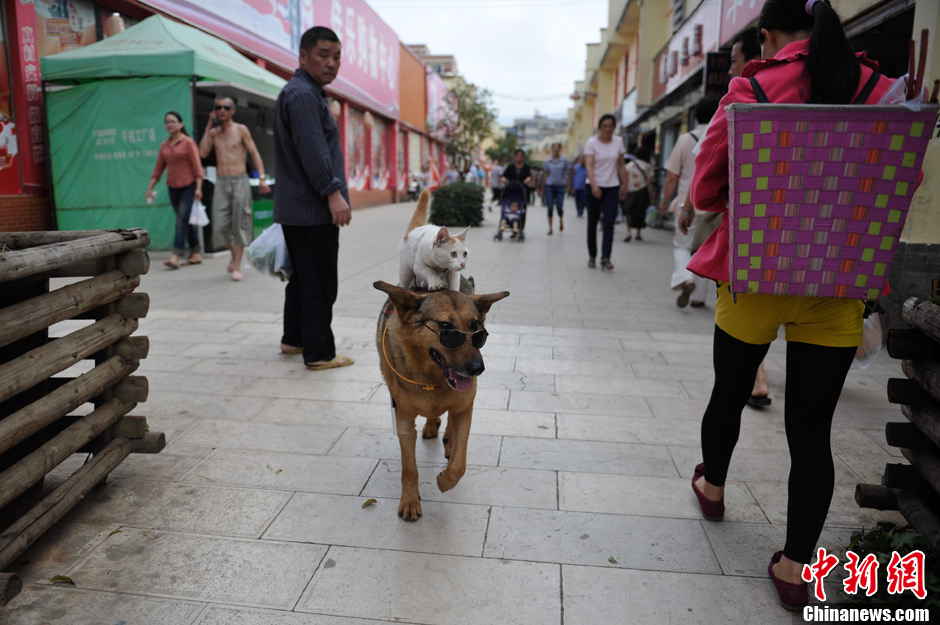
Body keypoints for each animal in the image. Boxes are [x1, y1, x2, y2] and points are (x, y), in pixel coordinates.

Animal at [372, 280, 506, 520]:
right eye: (446, 328)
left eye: (476, 329)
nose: (477, 369)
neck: (433, 379)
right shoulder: (404, 421)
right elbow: (409, 469)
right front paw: (410, 501)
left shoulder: (464, 409)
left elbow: (460, 464)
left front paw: (445, 480)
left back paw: (448, 441)